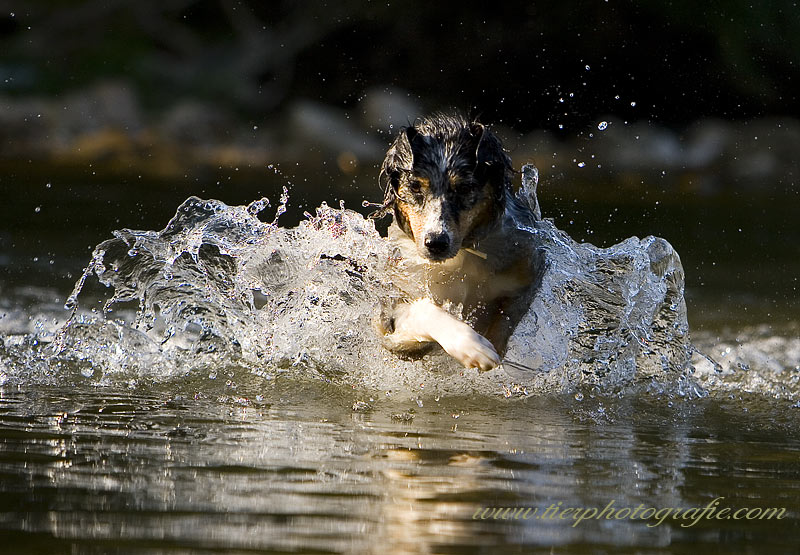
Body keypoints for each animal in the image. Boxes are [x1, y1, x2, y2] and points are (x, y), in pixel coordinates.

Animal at [374, 113, 544, 372]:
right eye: (415, 186)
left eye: (464, 187)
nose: (436, 242)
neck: (461, 257)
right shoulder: (392, 308)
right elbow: (423, 312)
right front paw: (472, 346)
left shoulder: (527, 269)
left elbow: (504, 319)